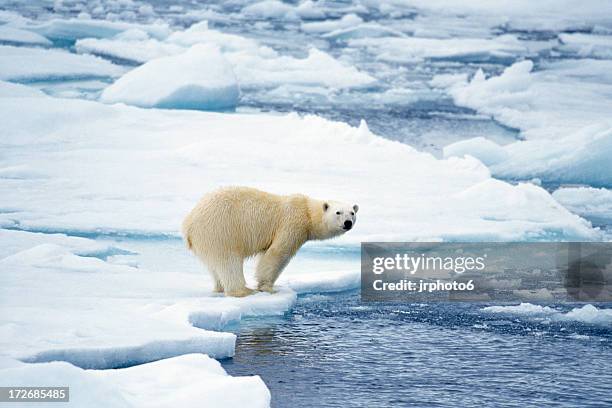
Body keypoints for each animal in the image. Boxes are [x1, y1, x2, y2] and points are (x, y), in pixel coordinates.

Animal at [180, 187, 358, 296]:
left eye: (352, 213)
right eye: (338, 212)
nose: (347, 223)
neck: (307, 212)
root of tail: (188, 223)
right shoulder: (291, 225)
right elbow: (277, 254)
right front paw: (268, 287)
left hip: (206, 240)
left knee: (214, 266)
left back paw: (219, 288)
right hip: (220, 230)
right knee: (229, 261)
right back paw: (243, 290)